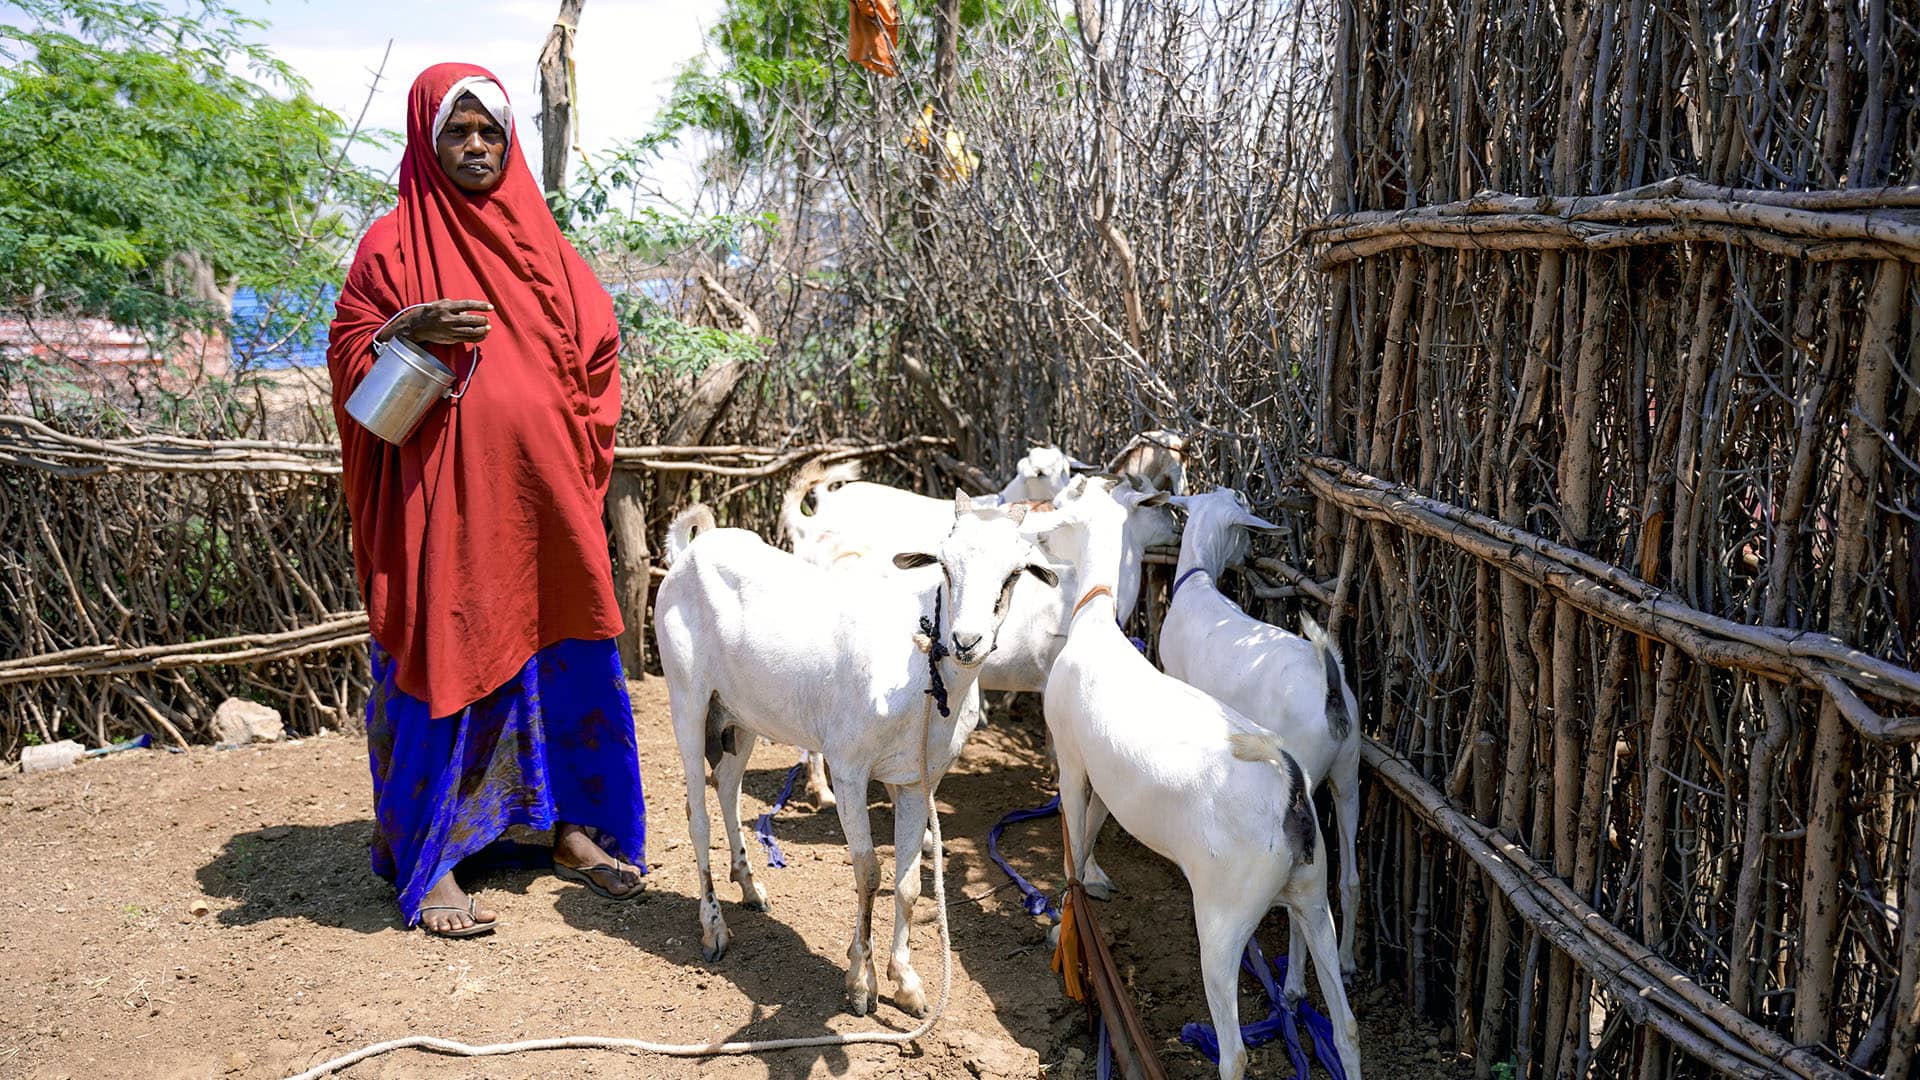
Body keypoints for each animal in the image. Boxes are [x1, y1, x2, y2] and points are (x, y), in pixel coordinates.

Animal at [652, 491, 1059, 1014]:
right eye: (945, 566)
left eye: (1013, 574)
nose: (966, 642)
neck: (920, 671)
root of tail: (689, 554)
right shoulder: (848, 770)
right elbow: (868, 872)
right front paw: (861, 983)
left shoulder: (916, 781)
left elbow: (908, 883)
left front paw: (906, 982)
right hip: (688, 697)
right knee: (697, 814)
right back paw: (714, 927)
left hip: (738, 716)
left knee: (727, 788)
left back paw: (749, 885)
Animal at [1152, 488, 1367, 983]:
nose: (1249, 555)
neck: (1197, 583)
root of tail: (1328, 684)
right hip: (1347, 769)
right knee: (1348, 876)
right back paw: (1347, 961)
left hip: (1304, 770)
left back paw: (1293, 984)